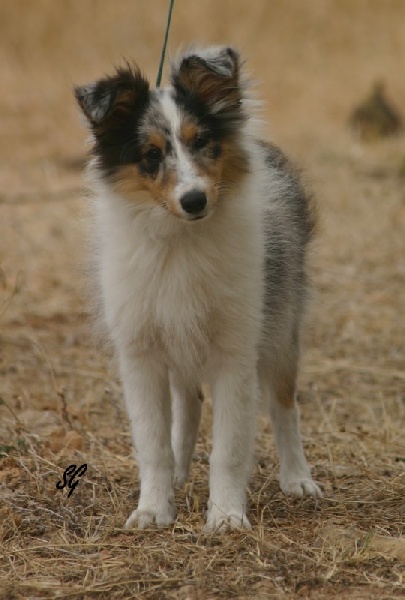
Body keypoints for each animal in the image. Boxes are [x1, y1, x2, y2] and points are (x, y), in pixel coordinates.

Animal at [75, 48, 322, 536]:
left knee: (284, 405)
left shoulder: (236, 351)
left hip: (281, 328)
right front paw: (154, 508)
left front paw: (225, 515)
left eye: (202, 141)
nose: (194, 200)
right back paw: (179, 471)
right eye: (151, 155)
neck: (179, 239)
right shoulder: (141, 355)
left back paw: (297, 478)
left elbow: (229, 448)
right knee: (188, 405)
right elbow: (153, 443)